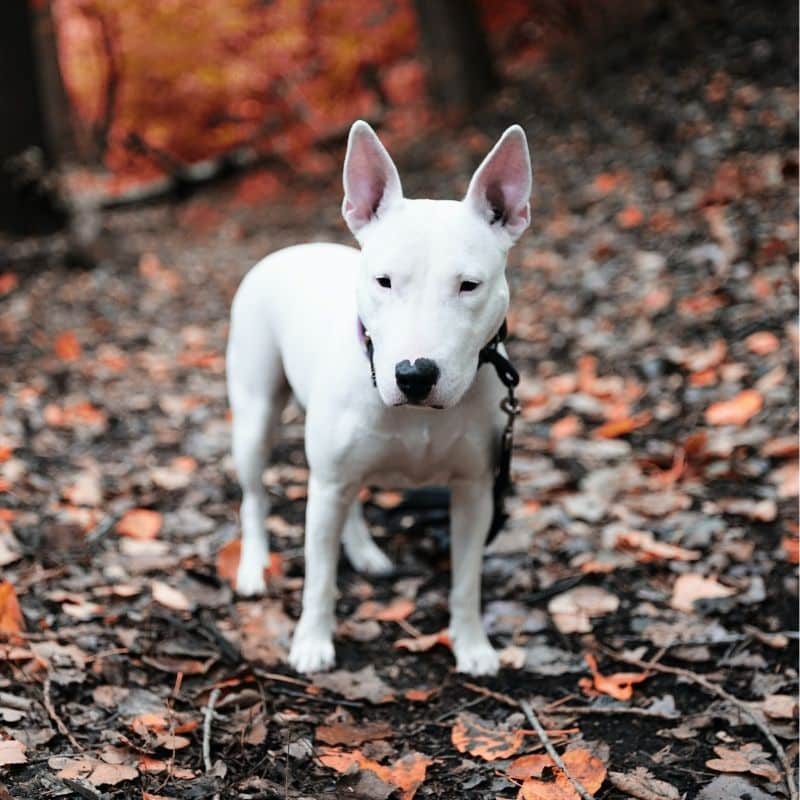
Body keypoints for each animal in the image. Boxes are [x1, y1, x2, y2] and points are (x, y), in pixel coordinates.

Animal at [227, 122, 532, 676]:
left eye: (469, 285)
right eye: (384, 281)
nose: (414, 375)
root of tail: (289, 249)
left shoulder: (476, 490)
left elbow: (467, 579)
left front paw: (472, 644)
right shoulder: (326, 484)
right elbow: (319, 577)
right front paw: (311, 641)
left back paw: (363, 551)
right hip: (255, 416)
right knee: (256, 496)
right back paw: (254, 565)